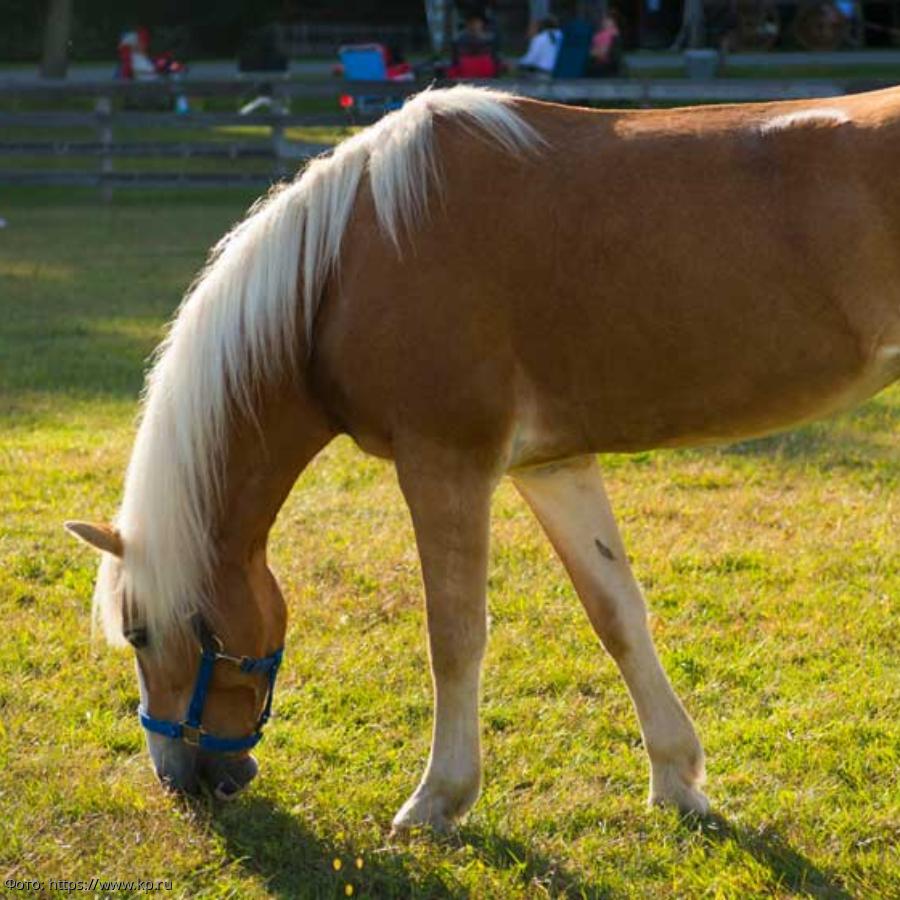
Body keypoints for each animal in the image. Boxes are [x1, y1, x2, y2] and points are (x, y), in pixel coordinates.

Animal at [65, 84, 900, 828]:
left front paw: (439, 799)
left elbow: (455, 636)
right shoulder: (552, 467)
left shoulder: (445, 464)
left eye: (138, 634)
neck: (351, 257)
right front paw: (676, 779)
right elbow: (617, 614)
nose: (184, 777)